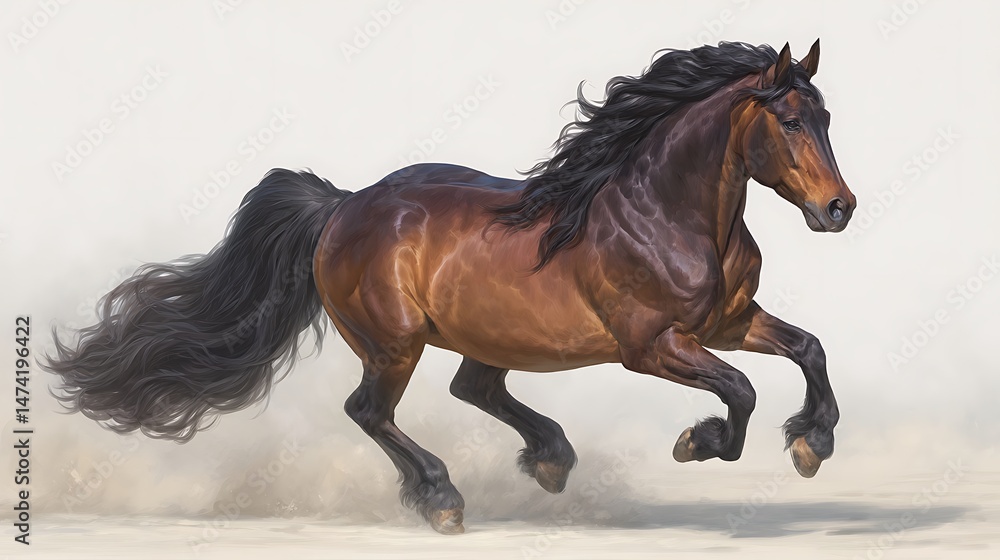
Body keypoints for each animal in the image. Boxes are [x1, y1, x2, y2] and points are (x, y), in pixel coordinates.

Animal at [43, 40, 855, 534]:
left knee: (474, 389)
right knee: (370, 410)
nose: (839, 209)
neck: (666, 212)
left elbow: (810, 348)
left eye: (825, 116)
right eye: (789, 121)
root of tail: (343, 205)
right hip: (394, 343)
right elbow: (741, 391)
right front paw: (700, 442)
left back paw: (550, 458)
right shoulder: (653, 345)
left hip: (486, 334)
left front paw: (811, 442)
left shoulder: (728, 322)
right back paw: (443, 499)